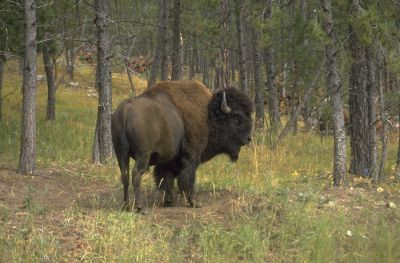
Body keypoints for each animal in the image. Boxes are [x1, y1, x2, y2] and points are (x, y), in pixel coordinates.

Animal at [110, 80, 253, 212]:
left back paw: (125, 206)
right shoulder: (191, 156)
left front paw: (168, 201)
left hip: (120, 153)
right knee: (136, 174)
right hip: (143, 155)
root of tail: (125, 110)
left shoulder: (167, 160)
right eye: (236, 117)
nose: (248, 138)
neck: (208, 115)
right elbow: (188, 178)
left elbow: (166, 178)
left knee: (124, 175)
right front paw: (194, 202)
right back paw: (141, 208)